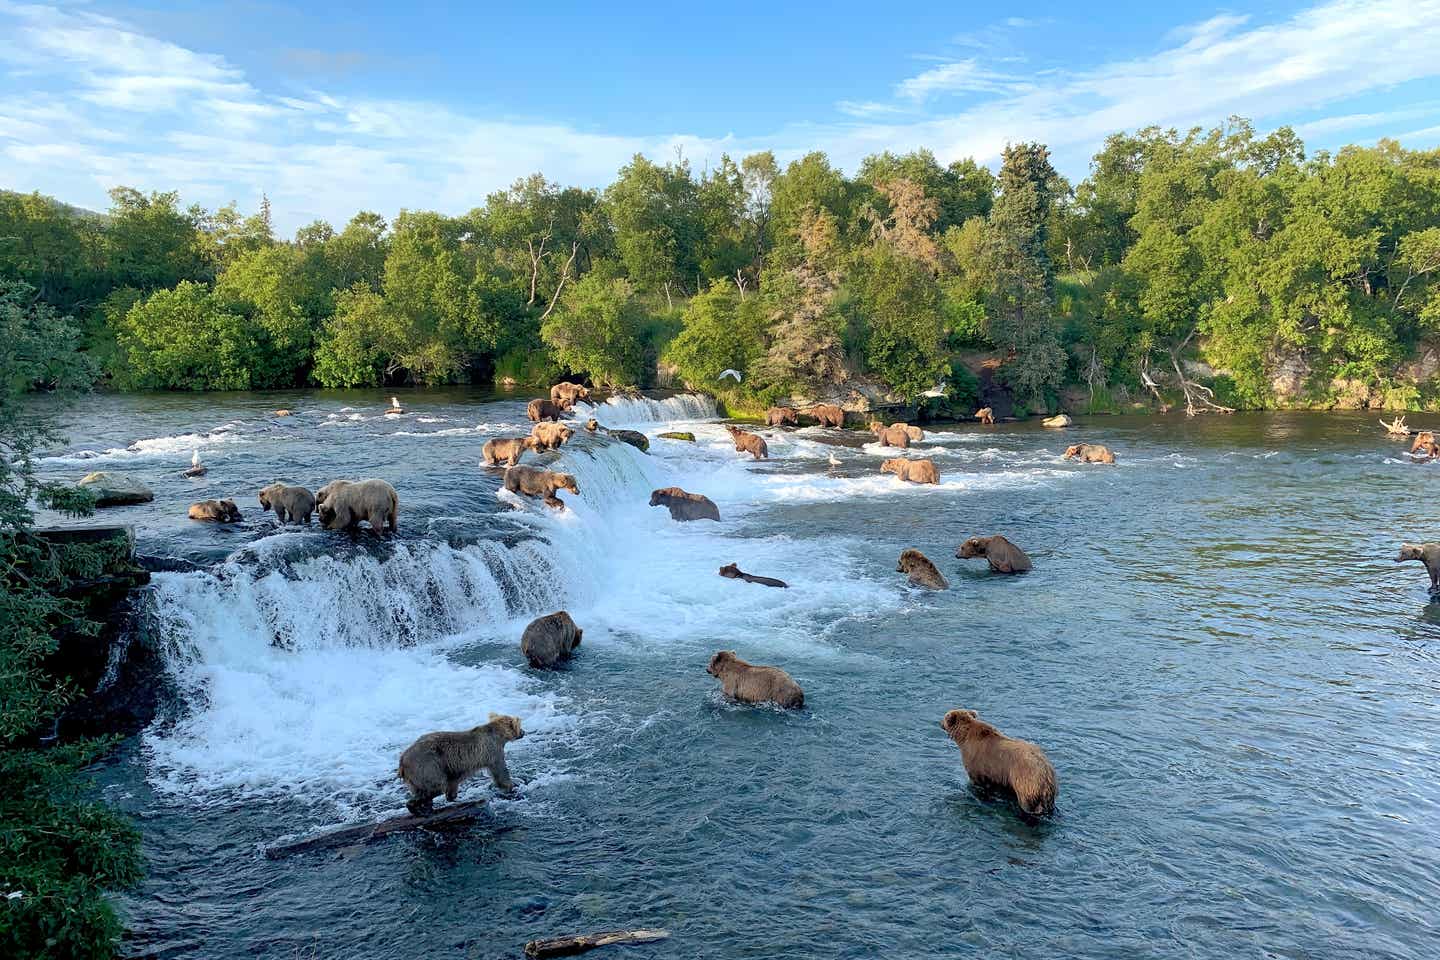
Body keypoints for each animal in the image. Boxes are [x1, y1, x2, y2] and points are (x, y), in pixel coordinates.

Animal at [397, 713, 527, 817]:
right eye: (520, 726)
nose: (524, 732)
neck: (499, 736)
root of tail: (402, 759)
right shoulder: (492, 751)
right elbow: (500, 771)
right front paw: (511, 786)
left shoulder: (452, 768)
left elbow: (453, 782)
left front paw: (453, 797)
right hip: (428, 765)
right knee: (434, 787)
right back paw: (418, 809)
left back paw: (426, 808)